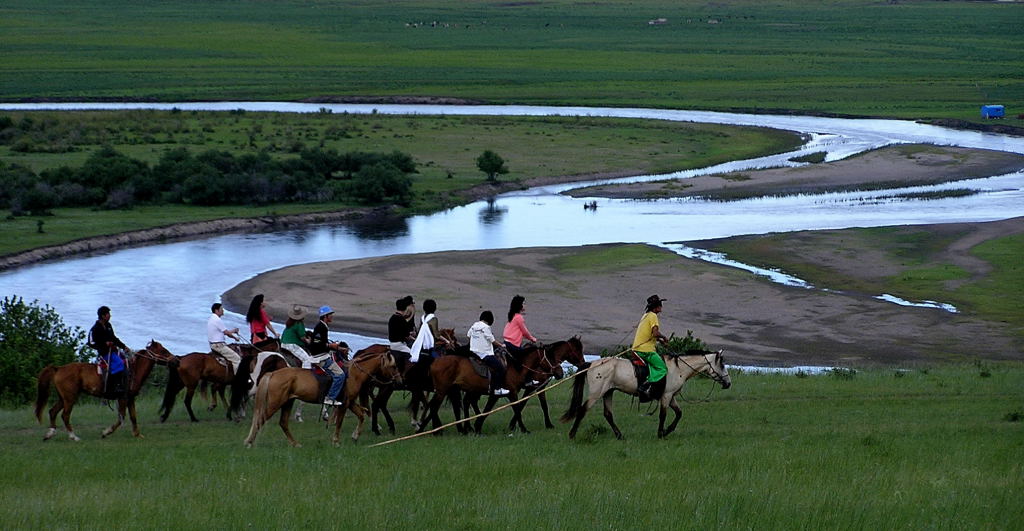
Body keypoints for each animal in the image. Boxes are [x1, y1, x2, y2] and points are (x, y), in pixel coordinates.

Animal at [33, 343, 178, 441]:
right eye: (163, 351)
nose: (176, 360)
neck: (133, 371)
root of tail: (58, 368)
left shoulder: (130, 398)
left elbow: (133, 417)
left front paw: (137, 434)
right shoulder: (123, 398)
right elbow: (121, 417)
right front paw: (106, 432)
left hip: (63, 398)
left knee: (53, 411)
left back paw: (49, 434)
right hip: (70, 398)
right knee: (65, 415)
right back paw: (74, 437)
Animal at [241, 349, 401, 448]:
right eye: (393, 366)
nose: (399, 381)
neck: (354, 374)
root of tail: (273, 373)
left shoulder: (350, 403)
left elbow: (361, 415)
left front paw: (355, 436)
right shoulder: (344, 404)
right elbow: (339, 423)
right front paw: (336, 441)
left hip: (288, 402)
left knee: (283, 423)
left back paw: (296, 444)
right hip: (276, 403)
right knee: (261, 420)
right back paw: (249, 442)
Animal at [419, 345, 565, 435]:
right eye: (550, 358)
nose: (560, 372)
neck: (514, 367)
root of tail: (434, 362)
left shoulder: (495, 395)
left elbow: (487, 411)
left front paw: (477, 427)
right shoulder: (512, 393)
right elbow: (517, 410)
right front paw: (524, 429)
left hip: (449, 390)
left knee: (443, 405)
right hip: (443, 390)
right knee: (434, 406)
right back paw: (435, 430)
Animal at [561, 349, 729, 439]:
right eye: (721, 364)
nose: (728, 383)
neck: (679, 368)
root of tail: (592, 363)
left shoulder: (671, 397)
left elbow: (679, 413)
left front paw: (667, 430)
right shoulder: (666, 396)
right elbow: (663, 415)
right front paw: (661, 433)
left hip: (608, 392)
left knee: (608, 414)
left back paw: (620, 436)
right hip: (597, 393)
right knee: (582, 410)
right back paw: (572, 434)